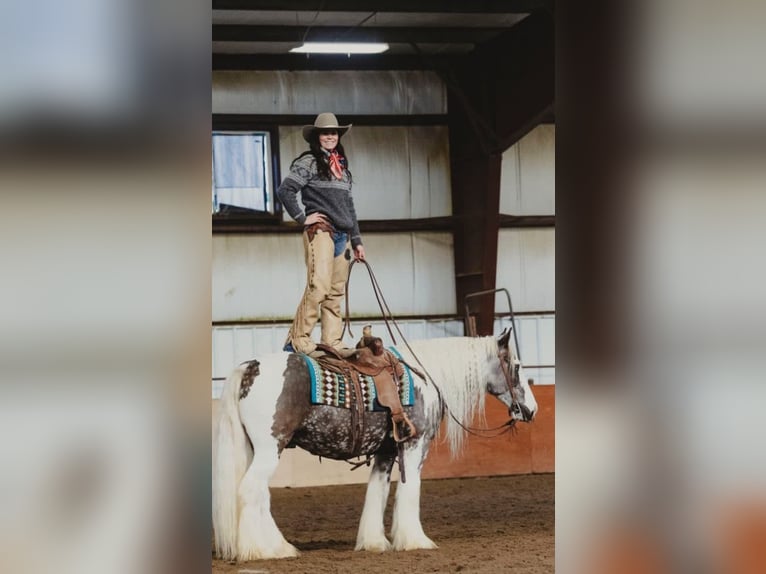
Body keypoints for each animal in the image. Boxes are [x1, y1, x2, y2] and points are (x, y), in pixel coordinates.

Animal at [212, 328, 540, 564]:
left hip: (256, 450)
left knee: (258, 495)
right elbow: (410, 491)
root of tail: (250, 367)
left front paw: (374, 542)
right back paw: (265, 550)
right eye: (517, 365)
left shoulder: (386, 452)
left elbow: (377, 493)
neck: (425, 377)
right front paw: (415, 541)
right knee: (251, 490)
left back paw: (276, 545)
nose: (532, 410)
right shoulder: (414, 446)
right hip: (270, 448)